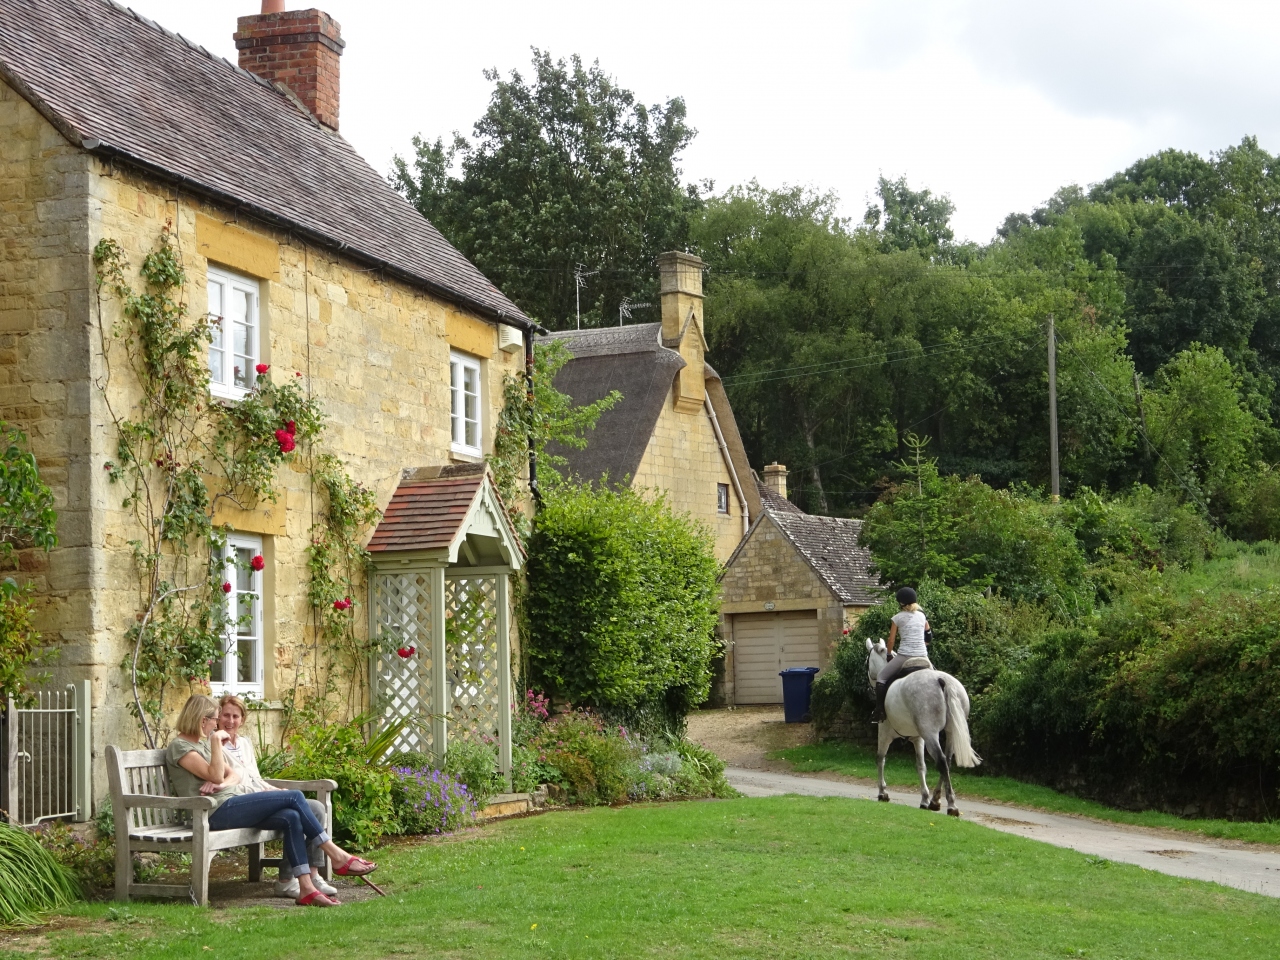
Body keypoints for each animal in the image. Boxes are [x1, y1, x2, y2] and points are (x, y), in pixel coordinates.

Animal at [870, 640, 977, 819]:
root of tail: (942, 680)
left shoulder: (884, 731)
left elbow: (880, 758)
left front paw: (882, 792)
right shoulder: (918, 738)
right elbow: (921, 766)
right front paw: (925, 799)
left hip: (930, 733)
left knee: (941, 761)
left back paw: (951, 805)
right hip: (949, 732)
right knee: (947, 761)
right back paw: (935, 800)